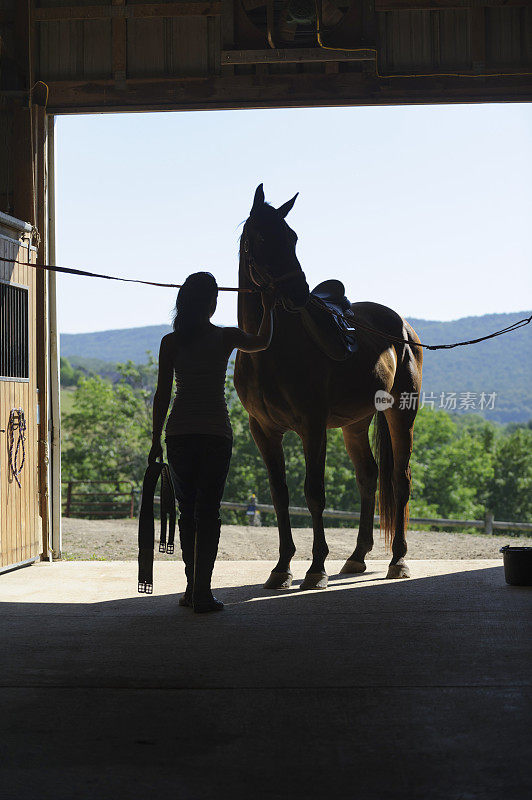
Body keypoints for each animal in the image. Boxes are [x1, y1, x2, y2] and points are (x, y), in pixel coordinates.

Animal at [235, 186, 422, 588]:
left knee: (399, 479)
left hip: (402, 414)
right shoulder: (264, 430)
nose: (298, 292)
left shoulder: (312, 426)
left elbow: (314, 494)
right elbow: (280, 494)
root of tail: (402, 328)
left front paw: (315, 567)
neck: (268, 348)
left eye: (292, 237)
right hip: (355, 424)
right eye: (262, 237)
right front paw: (281, 567)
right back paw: (357, 556)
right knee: (369, 476)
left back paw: (398, 560)